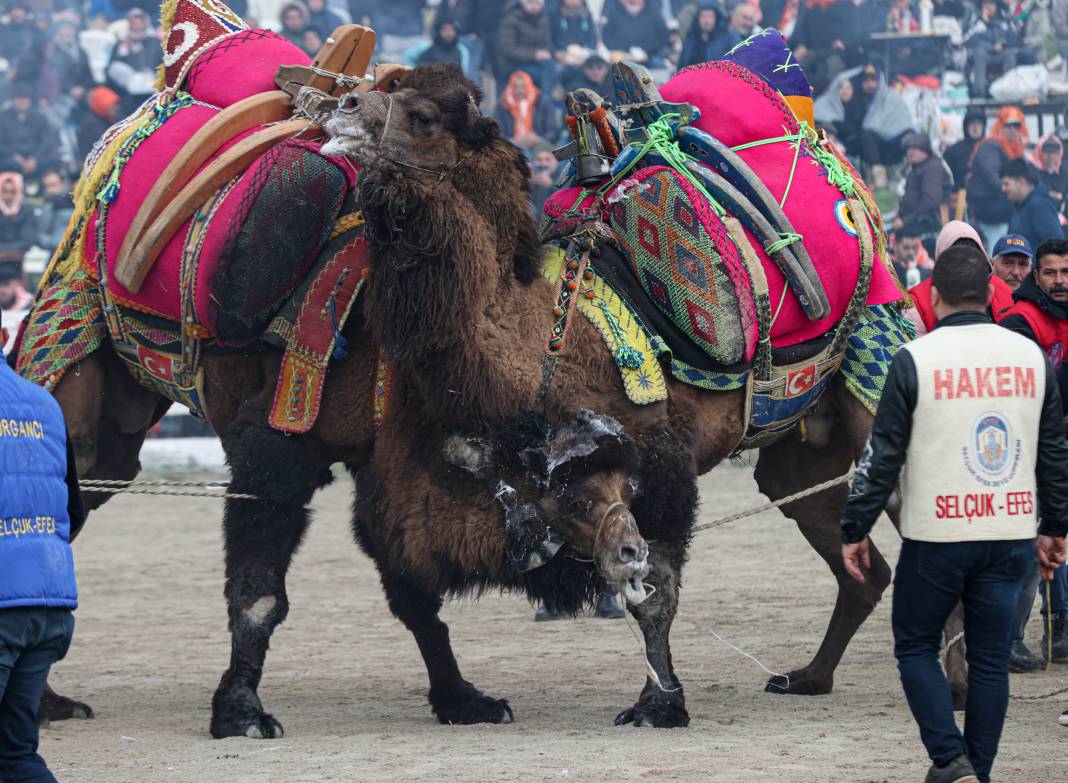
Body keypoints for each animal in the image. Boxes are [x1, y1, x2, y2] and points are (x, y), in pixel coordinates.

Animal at [320, 64, 905, 730]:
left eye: (421, 116)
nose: (342, 105)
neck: (539, 342)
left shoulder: (660, 461)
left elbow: (652, 587)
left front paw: (660, 704)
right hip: (800, 452)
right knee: (858, 562)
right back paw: (808, 677)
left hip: (877, 369)